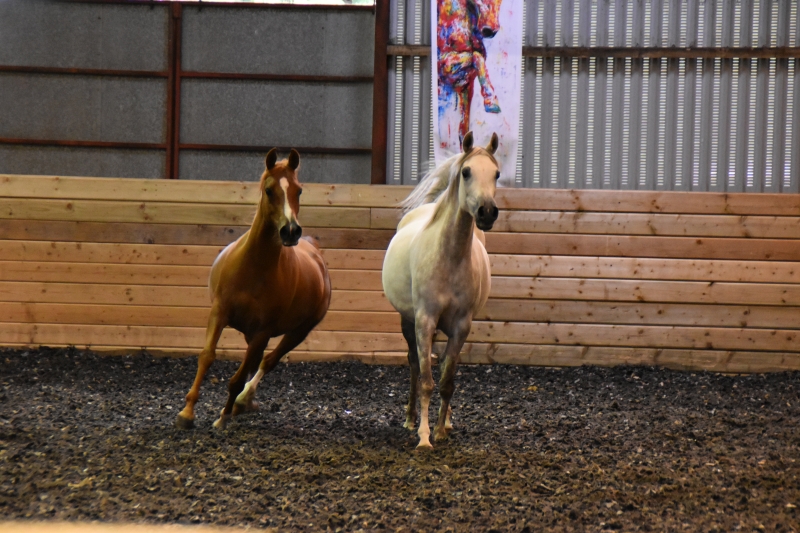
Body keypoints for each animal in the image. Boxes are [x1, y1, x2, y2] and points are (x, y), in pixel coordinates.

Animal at [177, 148, 332, 430]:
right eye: (269, 190)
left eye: (299, 191)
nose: (291, 231)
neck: (254, 267)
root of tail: (314, 249)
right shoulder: (219, 313)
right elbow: (206, 356)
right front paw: (187, 412)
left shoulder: (263, 332)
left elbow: (238, 377)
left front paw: (223, 417)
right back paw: (243, 404)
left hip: (298, 332)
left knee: (267, 361)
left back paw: (241, 401)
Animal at [382, 131, 500, 446]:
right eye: (467, 171)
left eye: (496, 174)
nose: (487, 212)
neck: (450, 257)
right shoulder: (424, 320)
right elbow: (426, 380)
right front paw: (424, 437)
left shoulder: (461, 326)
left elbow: (447, 381)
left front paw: (440, 429)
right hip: (408, 321)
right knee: (414, 364)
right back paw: (411, 419)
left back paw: (444, 421)